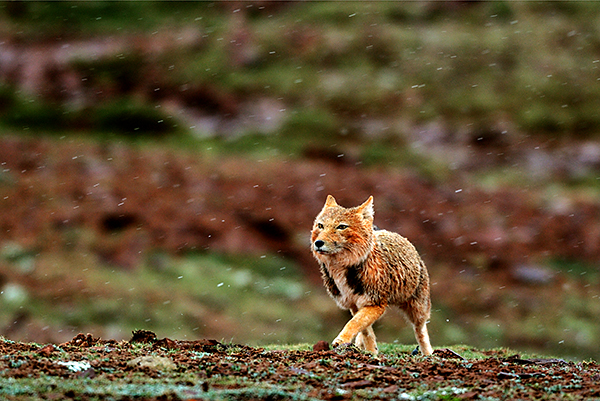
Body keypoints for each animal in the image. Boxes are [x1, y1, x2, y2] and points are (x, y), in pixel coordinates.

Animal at [312, 195, 434, 354]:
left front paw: (342, 340)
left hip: (418, 311)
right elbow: (365, 331)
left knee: (421, 331)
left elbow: (354, 323)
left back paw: (429, 354)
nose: (318, 243)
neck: (342, 269)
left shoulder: (376, 303)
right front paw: (371, 353)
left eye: (341, 227)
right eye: (320, 226)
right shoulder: (355, 305)